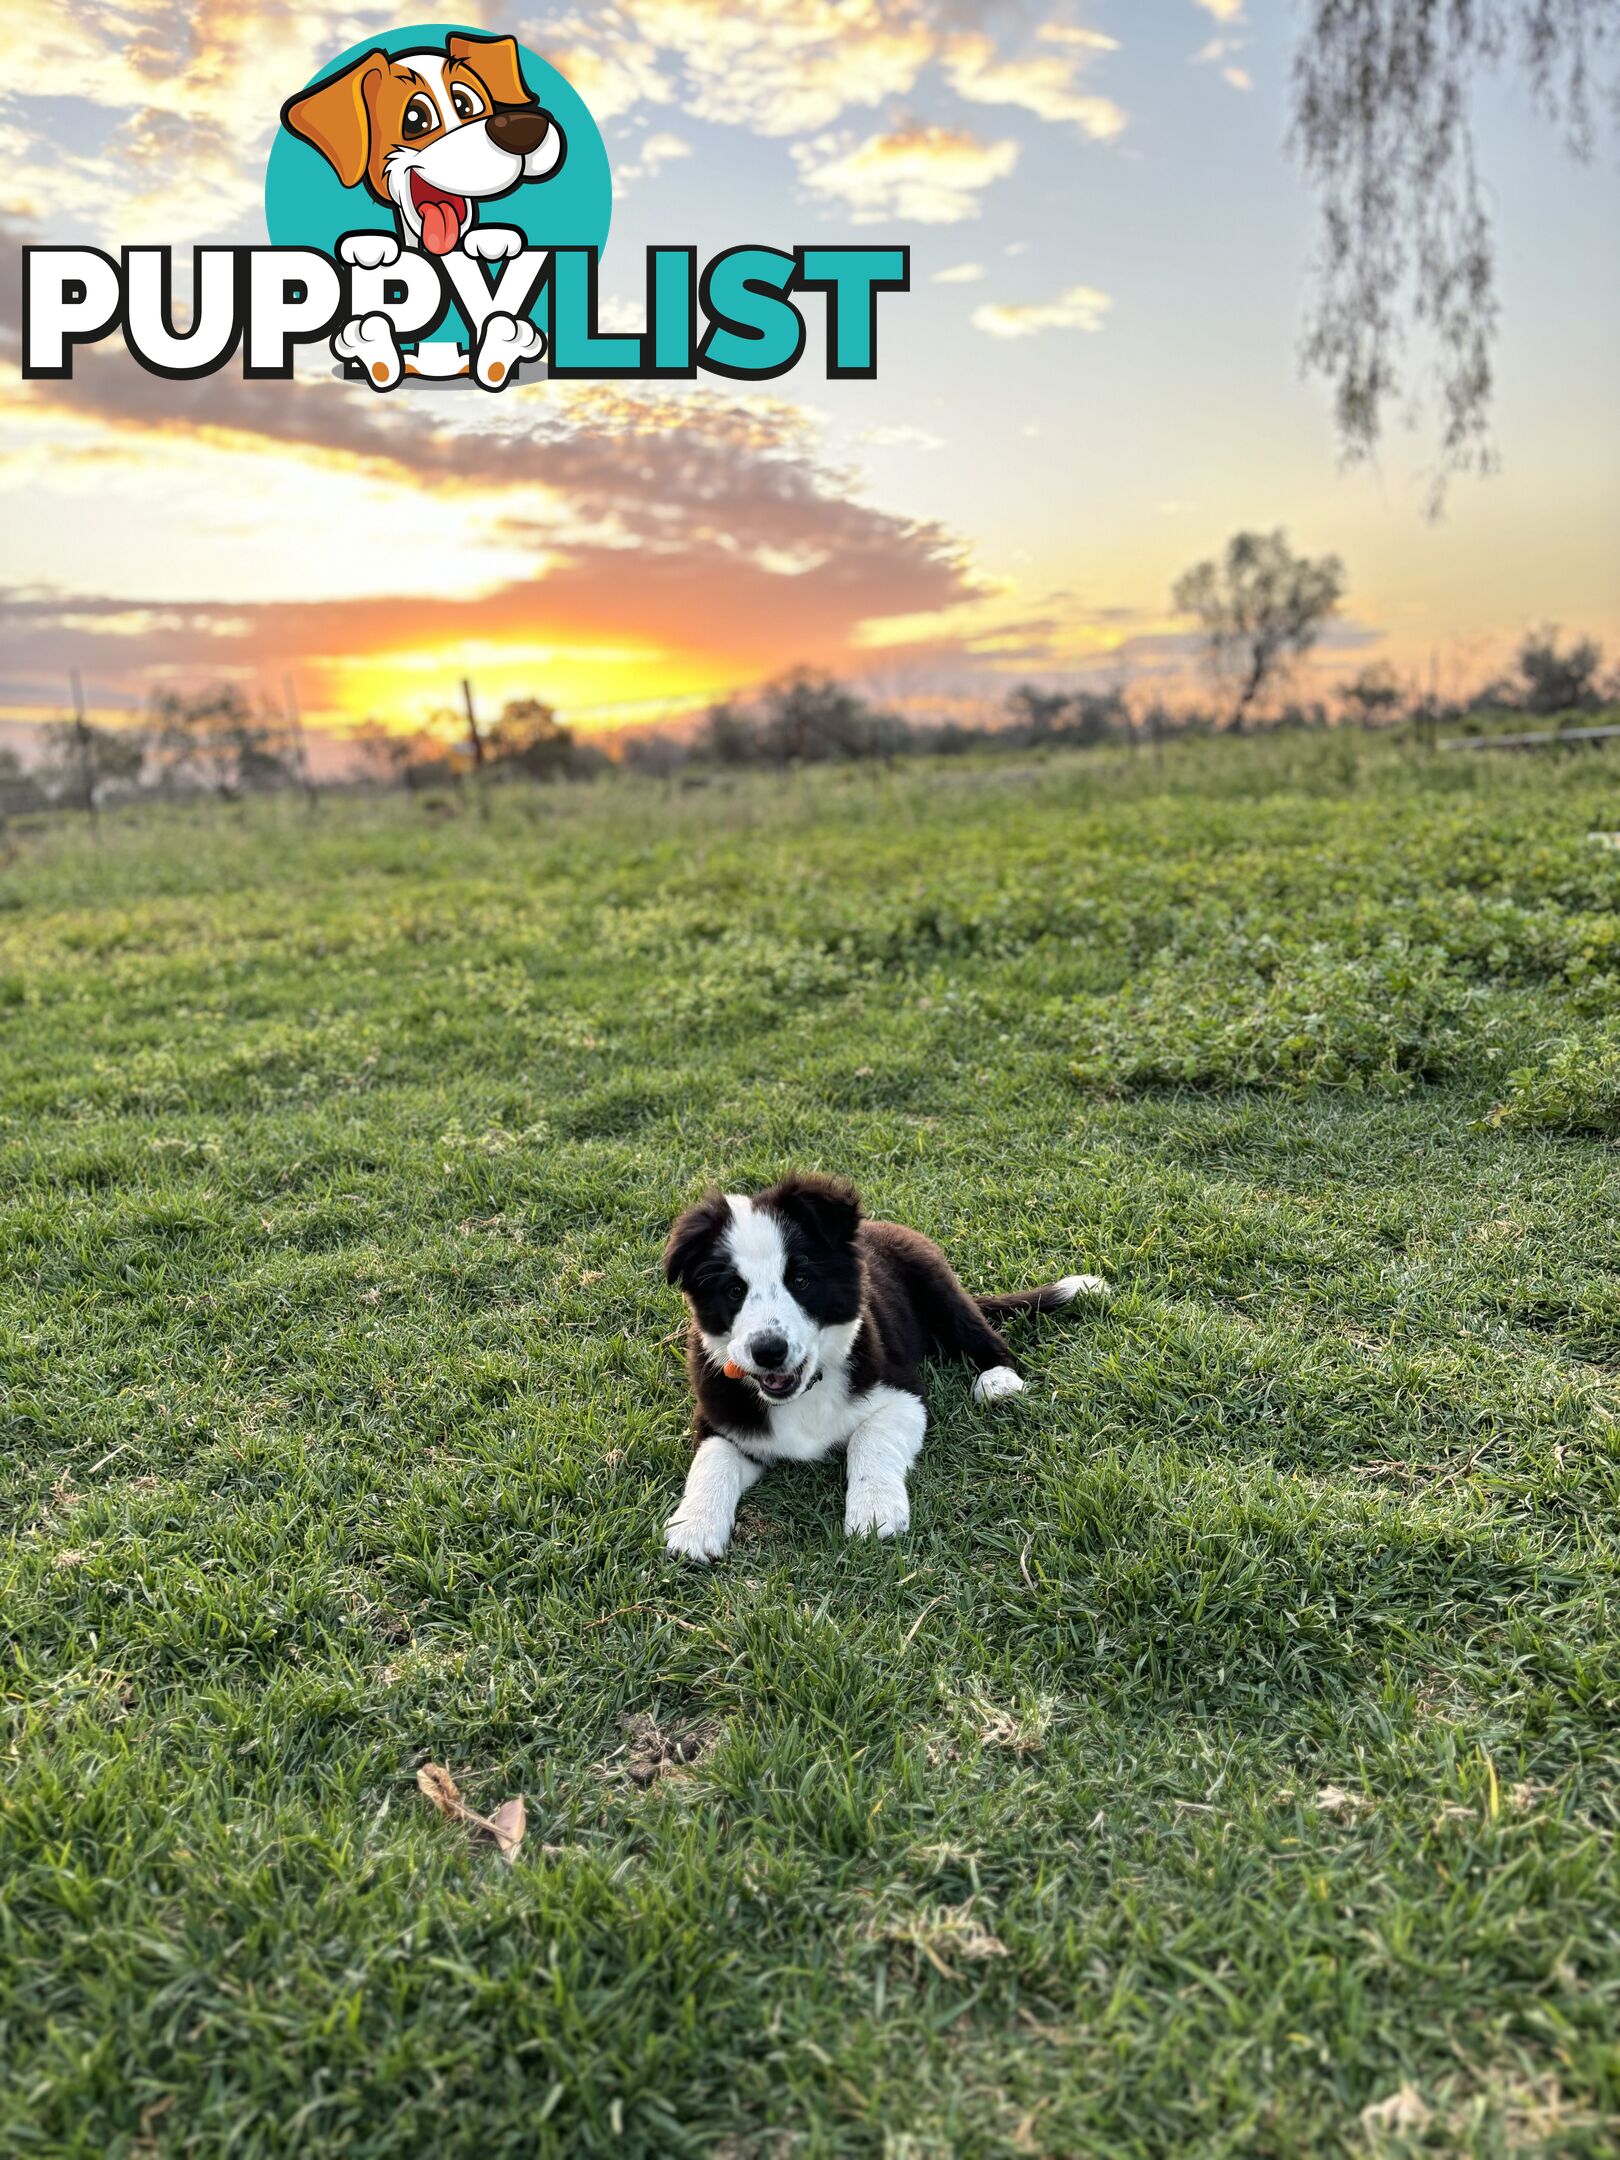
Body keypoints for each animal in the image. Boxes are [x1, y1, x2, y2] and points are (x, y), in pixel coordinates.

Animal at [665, 1175, 1114, 1563]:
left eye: (801, 1280)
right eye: (734, 1290)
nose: (768, 1351)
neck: (807, 1389)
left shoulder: (903, 1392)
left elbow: (869, 1439)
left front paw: (873, 1512)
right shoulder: (719, 1416)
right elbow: (712, 1461)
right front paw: (694, 1527)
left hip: (936, 1285)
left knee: (981, 1335)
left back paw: (998, 1380)